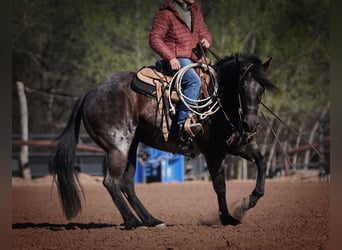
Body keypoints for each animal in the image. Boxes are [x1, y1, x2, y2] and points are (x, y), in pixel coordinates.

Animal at [50, 52, 276, 229]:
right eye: (242, 88)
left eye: (261, 89)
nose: (250, 124)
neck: (218, 101)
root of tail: (89, 94)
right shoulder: (213, 153)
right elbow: (220, 186)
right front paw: (228, 218)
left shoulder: (239, 145)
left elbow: (262, 161)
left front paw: (250, 200)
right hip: (118, 147)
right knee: (111, 182)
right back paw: (133, 222)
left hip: (132, 146)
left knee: (127, 184)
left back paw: (151, 220)